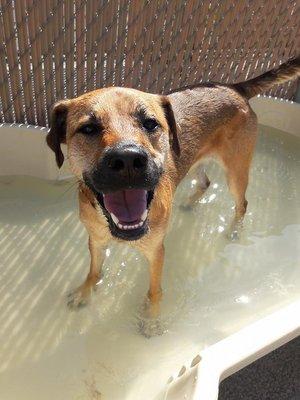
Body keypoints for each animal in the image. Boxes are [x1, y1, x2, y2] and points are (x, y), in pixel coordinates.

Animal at [45, 56, 298, 334]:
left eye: (150, 123)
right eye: (89, 128)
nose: (128, 159)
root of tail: (233, 87)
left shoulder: (156, 251)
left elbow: (155, 291)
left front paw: (152, 320)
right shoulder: (96, 240)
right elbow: (93, 270)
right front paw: (86, 291)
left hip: (236, 171)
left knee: (242, 203)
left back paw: (233, 230)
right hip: (197, 159)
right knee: (206, 182)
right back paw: (190, 204)